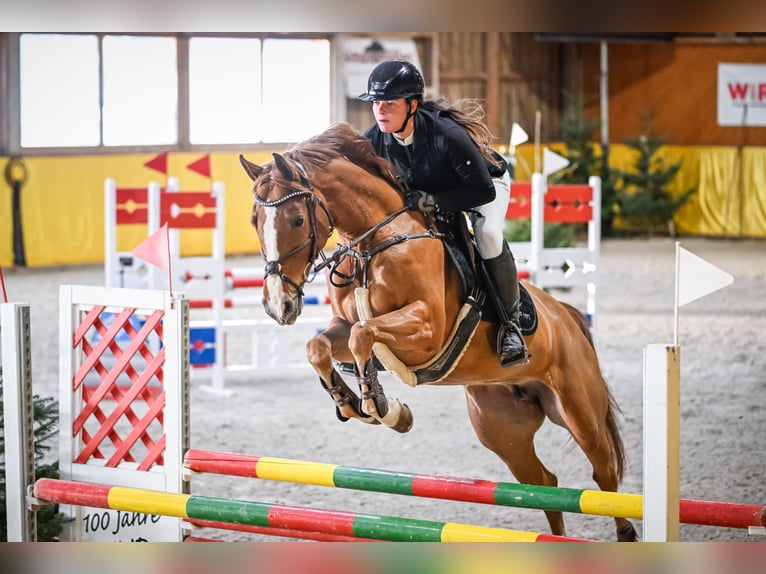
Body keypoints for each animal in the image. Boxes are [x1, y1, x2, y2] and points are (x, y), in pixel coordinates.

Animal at [239, 122, 638, 542]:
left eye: (297, 220)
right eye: (254, 221)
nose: (278, 305)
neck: (374, 243)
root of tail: (567, 316)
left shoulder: (426, 330)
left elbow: (363, 335)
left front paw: (384, 407)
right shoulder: (342, 325)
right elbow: (320, 345)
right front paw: (349, 401)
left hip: (580, 411)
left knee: (604, 474)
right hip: (502, 427)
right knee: (542, 484)